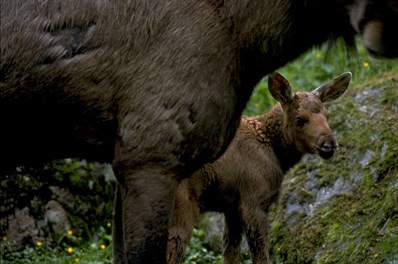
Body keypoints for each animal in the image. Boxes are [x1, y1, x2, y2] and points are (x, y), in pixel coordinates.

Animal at [0, 0, 398, 262]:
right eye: (300, 118)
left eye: (325, 113)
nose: (330, 144)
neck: (277, 155)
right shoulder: (253, 202)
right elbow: (261, 255)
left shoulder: (231, 208)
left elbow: (229, 255)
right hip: (178, 206)